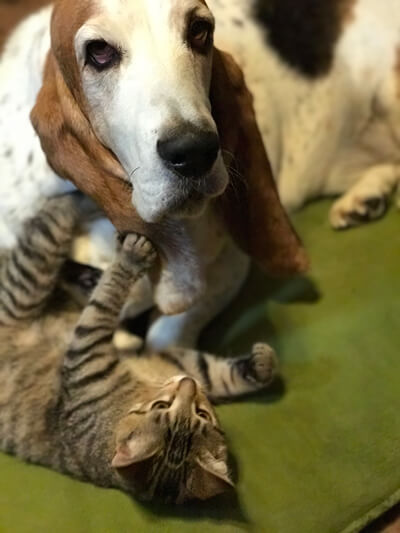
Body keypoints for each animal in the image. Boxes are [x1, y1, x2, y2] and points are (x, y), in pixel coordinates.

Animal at [0, 192, 276, 502]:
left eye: (201, 414)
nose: (187, 385)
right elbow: (107, 296)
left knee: (45, 228)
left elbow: (214, 371)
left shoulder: (155, 360)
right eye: (162, 406)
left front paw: (259, 368)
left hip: (26, 287)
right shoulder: (114, 351)